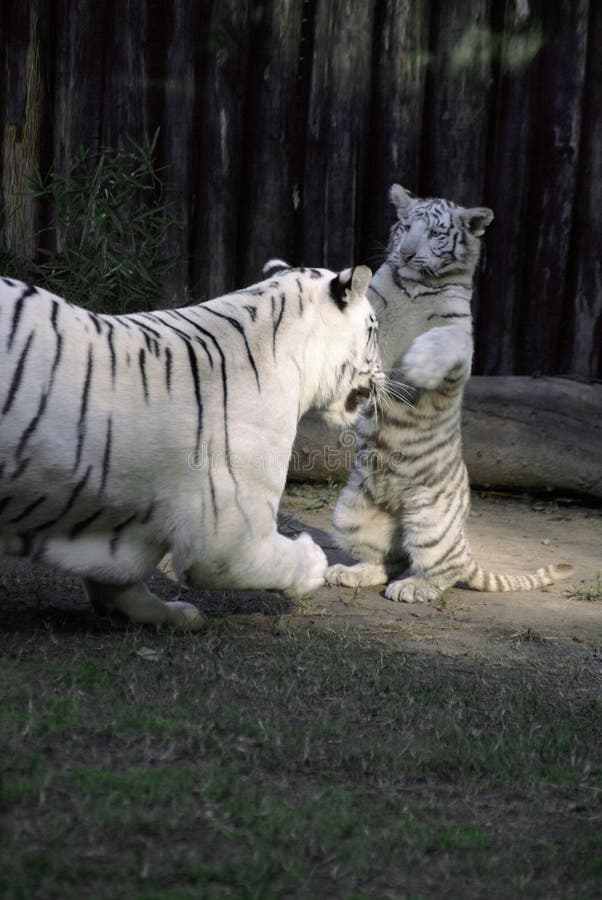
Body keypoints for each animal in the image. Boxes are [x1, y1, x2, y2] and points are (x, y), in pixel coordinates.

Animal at [1, 264, 380, 628]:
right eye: (373, 330)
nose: (385, 373)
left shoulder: (115, 529)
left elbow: (117, 583)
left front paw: (174, 615)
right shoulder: (230, 538)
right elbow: (278, 560)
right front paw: (314, 559)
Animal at [326, 185, 568, 600]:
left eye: (436, 234)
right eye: (405, 226)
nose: (407, 254)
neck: (413, 288)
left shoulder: (459, 334)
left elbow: (443, 341)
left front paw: (417, 367)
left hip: (430, 521)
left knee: (441, 570)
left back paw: (413, 589)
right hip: (349, 513)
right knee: (385, 561)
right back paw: (350, 572)